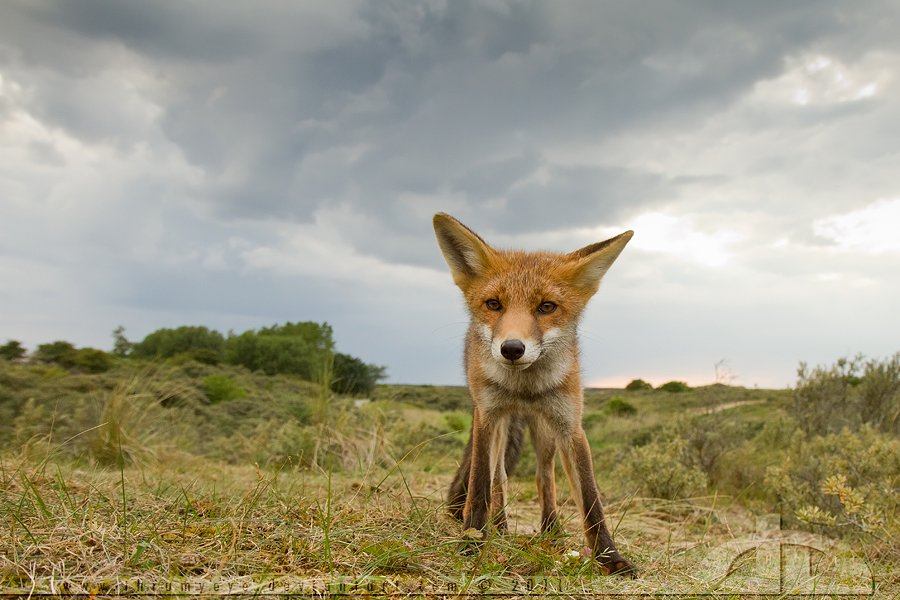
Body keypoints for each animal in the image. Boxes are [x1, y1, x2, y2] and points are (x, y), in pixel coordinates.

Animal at [432, 213, 636, 580]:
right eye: (494, 304)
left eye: (546, 307)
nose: (512, 348)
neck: (523, 389)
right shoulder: (488, 416)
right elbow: (481, 483)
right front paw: (471, 543)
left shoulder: (570, 424)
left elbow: (590, 499)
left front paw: (611, 558)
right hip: (500, 425)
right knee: (499, 478)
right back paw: (499, 528)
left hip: (544, 431)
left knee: (544, 476)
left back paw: (550, 530)